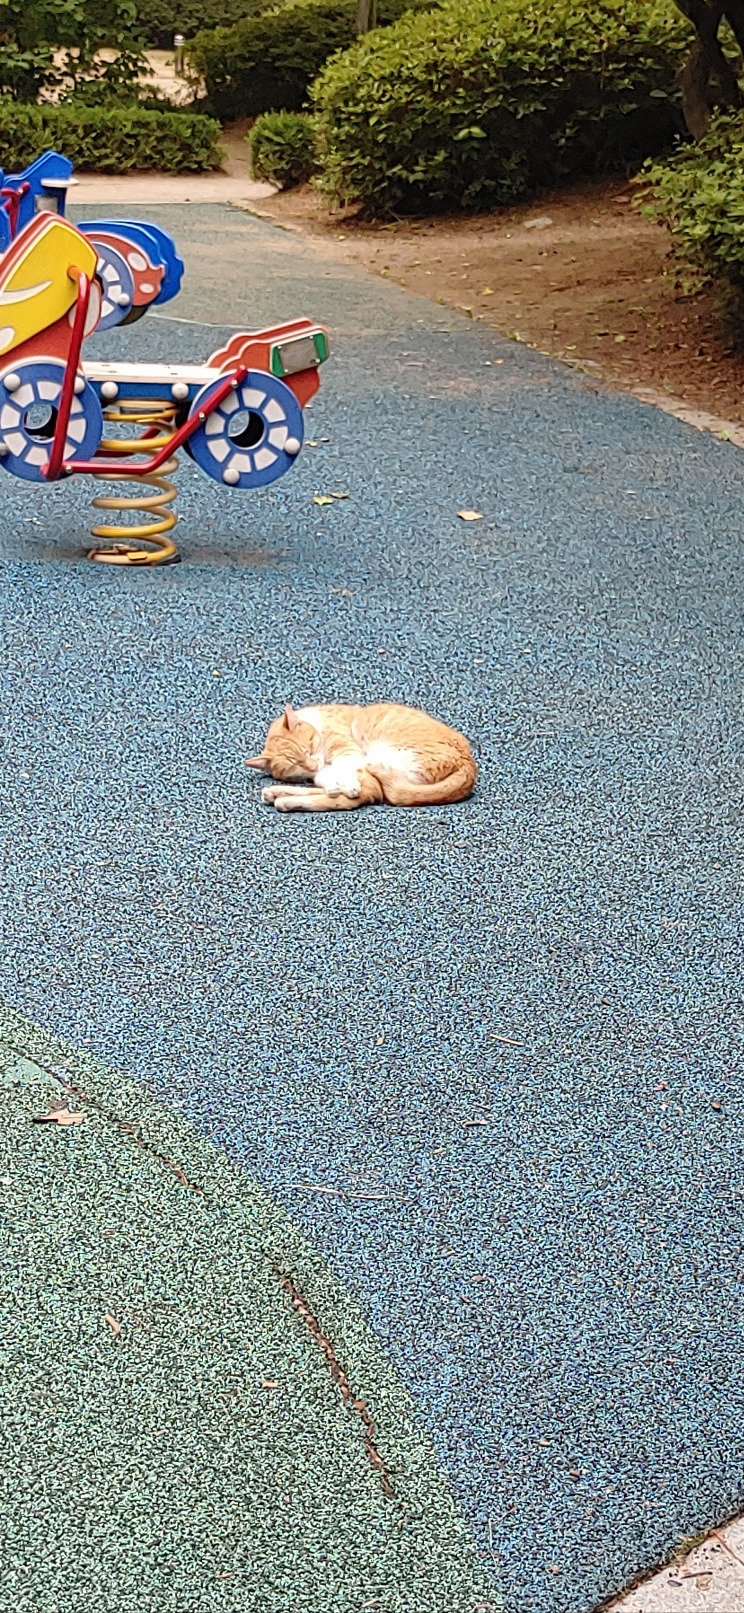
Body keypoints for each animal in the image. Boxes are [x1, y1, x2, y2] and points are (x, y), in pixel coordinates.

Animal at [245, 702, 477, 813]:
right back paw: (278, 794)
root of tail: (469, 766)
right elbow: (324, 778)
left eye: (309, 748)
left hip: (380, 756)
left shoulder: (348, 752)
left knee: (360, 795)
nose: (311, 764)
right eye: (295, 764)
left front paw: (344, 785)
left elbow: (337, 777)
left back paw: (286, 800)